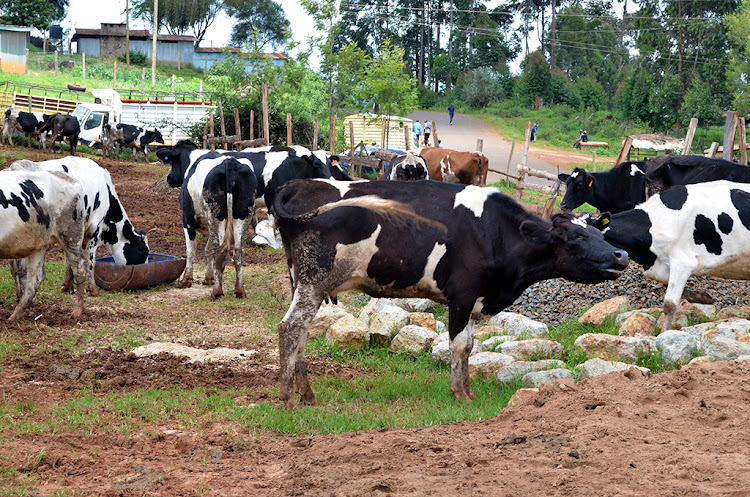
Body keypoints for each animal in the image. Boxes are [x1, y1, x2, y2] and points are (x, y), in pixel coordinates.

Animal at [9, 157, 151, 292]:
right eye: (143, 249)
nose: (143, 269)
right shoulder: (94, 228)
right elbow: (90, 260)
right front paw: (92, 289)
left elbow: (69, 260)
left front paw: (67, 287)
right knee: (21, 267)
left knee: (14, 267)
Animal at [163, 146, 260, 294]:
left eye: (173, 162)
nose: (169, 178)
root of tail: (230, 161)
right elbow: (208, 249)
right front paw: (209, 278)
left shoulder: (187, 221)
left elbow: (191, 251)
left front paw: (186, 280)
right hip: (243, 214)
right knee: (238, 250)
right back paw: (239, 290)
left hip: (215, 214)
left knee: (220, 249)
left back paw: (217, 291)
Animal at [274, 178, 632, 406]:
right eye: (575, 238)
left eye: (599, 232)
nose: (622, 255)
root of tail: (297, 184)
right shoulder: (462, 294)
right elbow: (458, 346)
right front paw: (460, 394)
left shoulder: (476, 300)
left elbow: (470, 346)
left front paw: (468, 391)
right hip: (314, 279)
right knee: (290, 327)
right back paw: (288, 397)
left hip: (302, 281)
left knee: (301, 332)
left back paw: (307, 395)